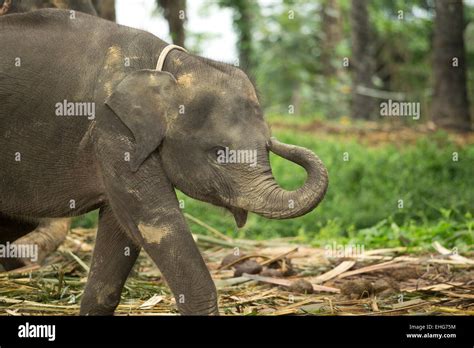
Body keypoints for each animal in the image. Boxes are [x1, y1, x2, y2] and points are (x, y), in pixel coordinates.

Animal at [0, 10, 326, 316]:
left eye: (266, 145)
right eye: (218, 153)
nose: (278, 142)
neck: (174, 68)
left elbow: (121, 230)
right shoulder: (113, 130)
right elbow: (157, 221)